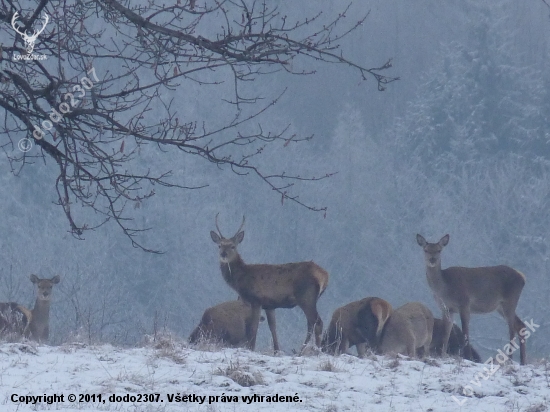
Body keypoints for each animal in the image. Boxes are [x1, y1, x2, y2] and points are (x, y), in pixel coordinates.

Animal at [211, 214, 330, 352]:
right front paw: (277, 350)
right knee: (311, 324)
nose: (223, 254)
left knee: (317, 322)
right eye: (219, 245)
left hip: (306, 296)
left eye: (232, 246)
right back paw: (302, 350)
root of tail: (324, 275)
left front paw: (251, 348)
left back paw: (315, 350)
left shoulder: (256, 300)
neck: (241, 279)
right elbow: (272, 327)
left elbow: (253, 328)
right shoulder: (270, 305)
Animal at [418, 233, 528, 366]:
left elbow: (465, 332)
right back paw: (522, 361)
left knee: (512, 329)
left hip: (510, 300)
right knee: (520, 325)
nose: (432, 259)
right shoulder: (446, 308)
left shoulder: (464, 303)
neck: (444, 288)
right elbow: (446, 332)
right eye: (426, 250)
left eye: (439, 250)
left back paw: (510, 359)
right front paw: (443, 355)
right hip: (500, 306)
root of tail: (522, 277)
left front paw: (468, 357)